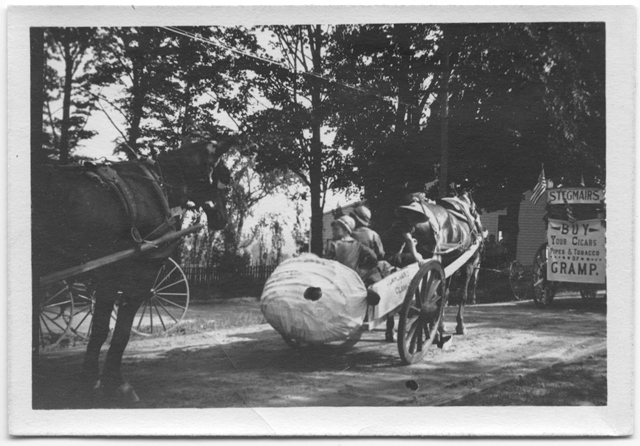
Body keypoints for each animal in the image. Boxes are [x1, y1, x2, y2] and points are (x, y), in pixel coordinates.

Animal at [30, 139, 235, 404]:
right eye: (224, 176)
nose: (223, 218)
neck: (155, 187)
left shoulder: (107, 275)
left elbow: (100, 329)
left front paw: (90, 378)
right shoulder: (135, 274)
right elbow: (121, 331)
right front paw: (117, 383)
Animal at [382, 192, 482, 342]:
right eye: (476, 212)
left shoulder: (449, 264)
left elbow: (445, 295)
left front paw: (443, 325)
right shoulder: (468, 265)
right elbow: (460, 296)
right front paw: (459, 325)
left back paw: (391, 331)